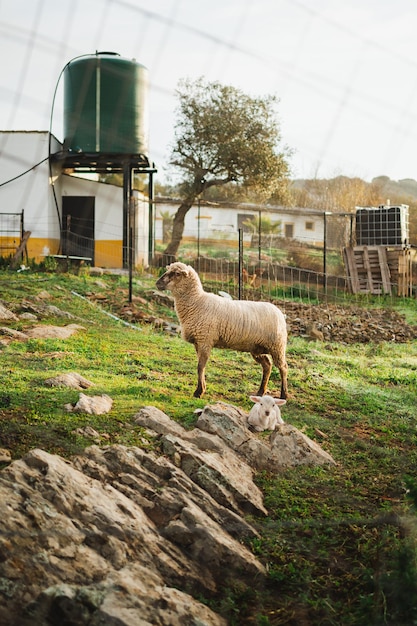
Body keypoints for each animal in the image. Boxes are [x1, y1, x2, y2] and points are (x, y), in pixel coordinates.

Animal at [154, 260, 288, 398]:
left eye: (176, 273)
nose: (157, 283)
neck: (196, 302)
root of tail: (280, 312)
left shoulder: (205, 341)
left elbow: (200, 367)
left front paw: (199, 392)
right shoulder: (198, 342)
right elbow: (200, 367)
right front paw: (202, 388)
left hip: (277, 346)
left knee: (283, 367)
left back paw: (284, 394)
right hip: (257, 348)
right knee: (267, 365)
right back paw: (260, 392)